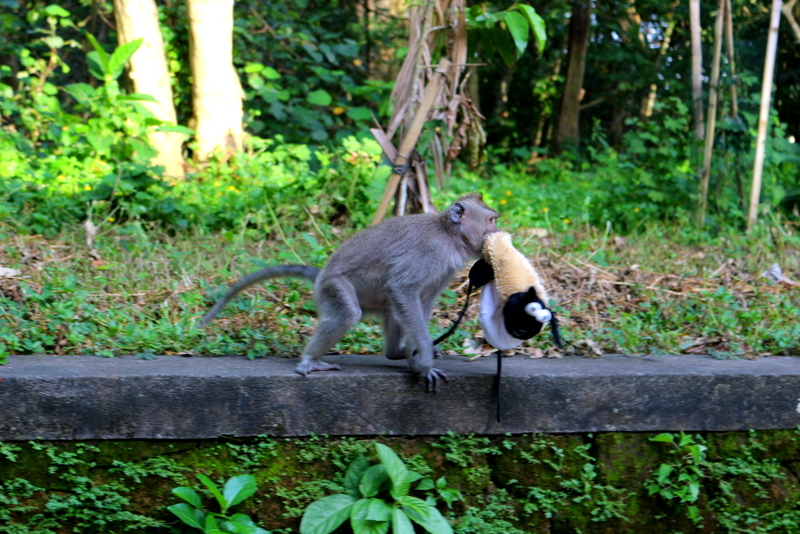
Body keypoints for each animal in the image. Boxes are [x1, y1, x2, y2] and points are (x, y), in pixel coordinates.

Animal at [202, 193, 500, 390]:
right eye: (490, 220)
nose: (498, 230)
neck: (448, 234)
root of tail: (321, 275)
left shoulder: (445, 268)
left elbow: (421, 300)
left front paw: (416, 356)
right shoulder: (432, 253)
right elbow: (404, 289)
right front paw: (425, 360)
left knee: (392, 310)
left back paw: (395, 352)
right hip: (333, 287)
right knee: (348, 313)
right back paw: (311, 360)